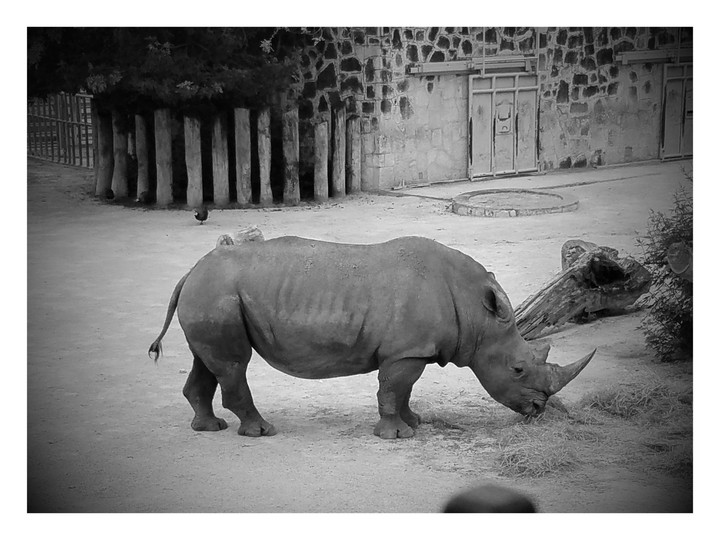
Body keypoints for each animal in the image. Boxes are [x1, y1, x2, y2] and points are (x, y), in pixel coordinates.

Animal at [149, 236, 595, 439]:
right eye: (518, 368)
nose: (538, 410)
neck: (475, 312)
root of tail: (190, 272)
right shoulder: (406, 352)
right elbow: (393, 388)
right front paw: (397, 436)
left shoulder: (412, 351)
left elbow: (404, 390)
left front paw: (414, 423)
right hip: (218, 294)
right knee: (233, 365)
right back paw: (262, 432)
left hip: (212, 296)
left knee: (208, 362)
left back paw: (209, 428)